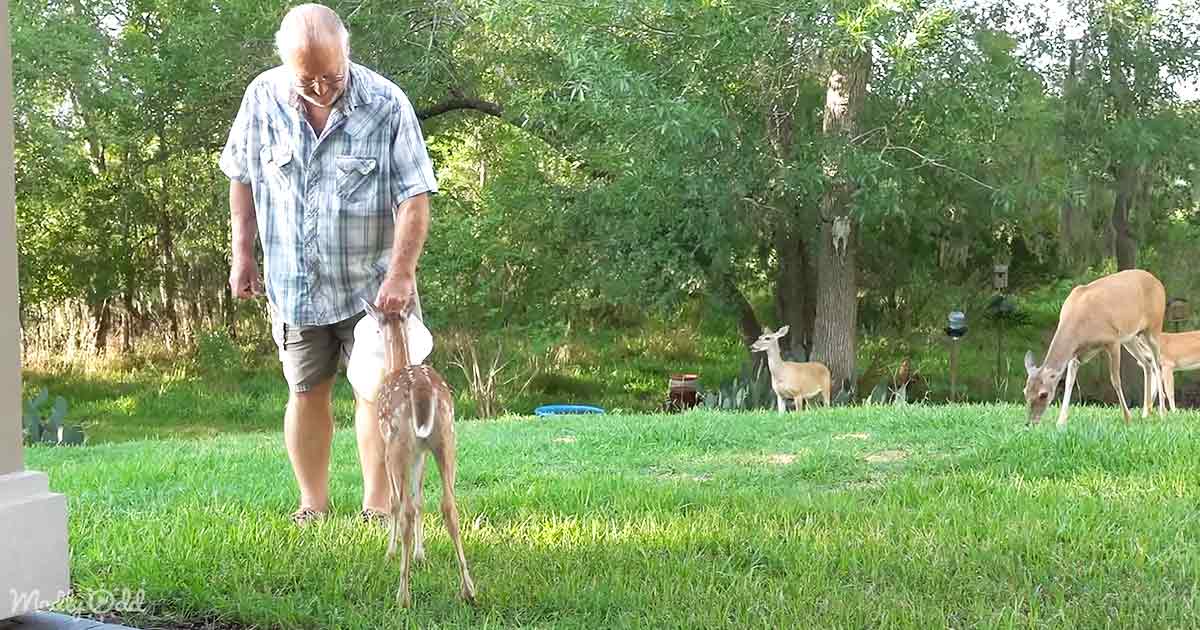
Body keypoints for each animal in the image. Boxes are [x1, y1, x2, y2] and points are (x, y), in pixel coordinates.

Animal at [361, 299, 477, 608]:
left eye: (376, 328)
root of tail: (423, 389)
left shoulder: (387, 448)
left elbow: (395, 502)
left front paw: (390, 553)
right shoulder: (420, 453)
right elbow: (420, 497)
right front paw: (420, 554)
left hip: (399, 443)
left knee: (406, 511)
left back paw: (402, 594)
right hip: (446, 438)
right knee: (449, 505)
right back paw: (469, 589)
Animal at [1023, 268, 1168, 428]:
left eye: (1043, 394)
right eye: (1025, 392)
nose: (1030, 423)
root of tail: (1158, 282)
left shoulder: (1112, 340)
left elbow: (1115, 380)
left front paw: (1127, 418)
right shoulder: (1075, 354)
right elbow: (1069, 382)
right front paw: (1061, 422)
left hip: (1153, 327)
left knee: (1157, 363)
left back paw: (1162, 412)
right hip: (1131, 337)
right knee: (1146, 361)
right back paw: (1146, 412)